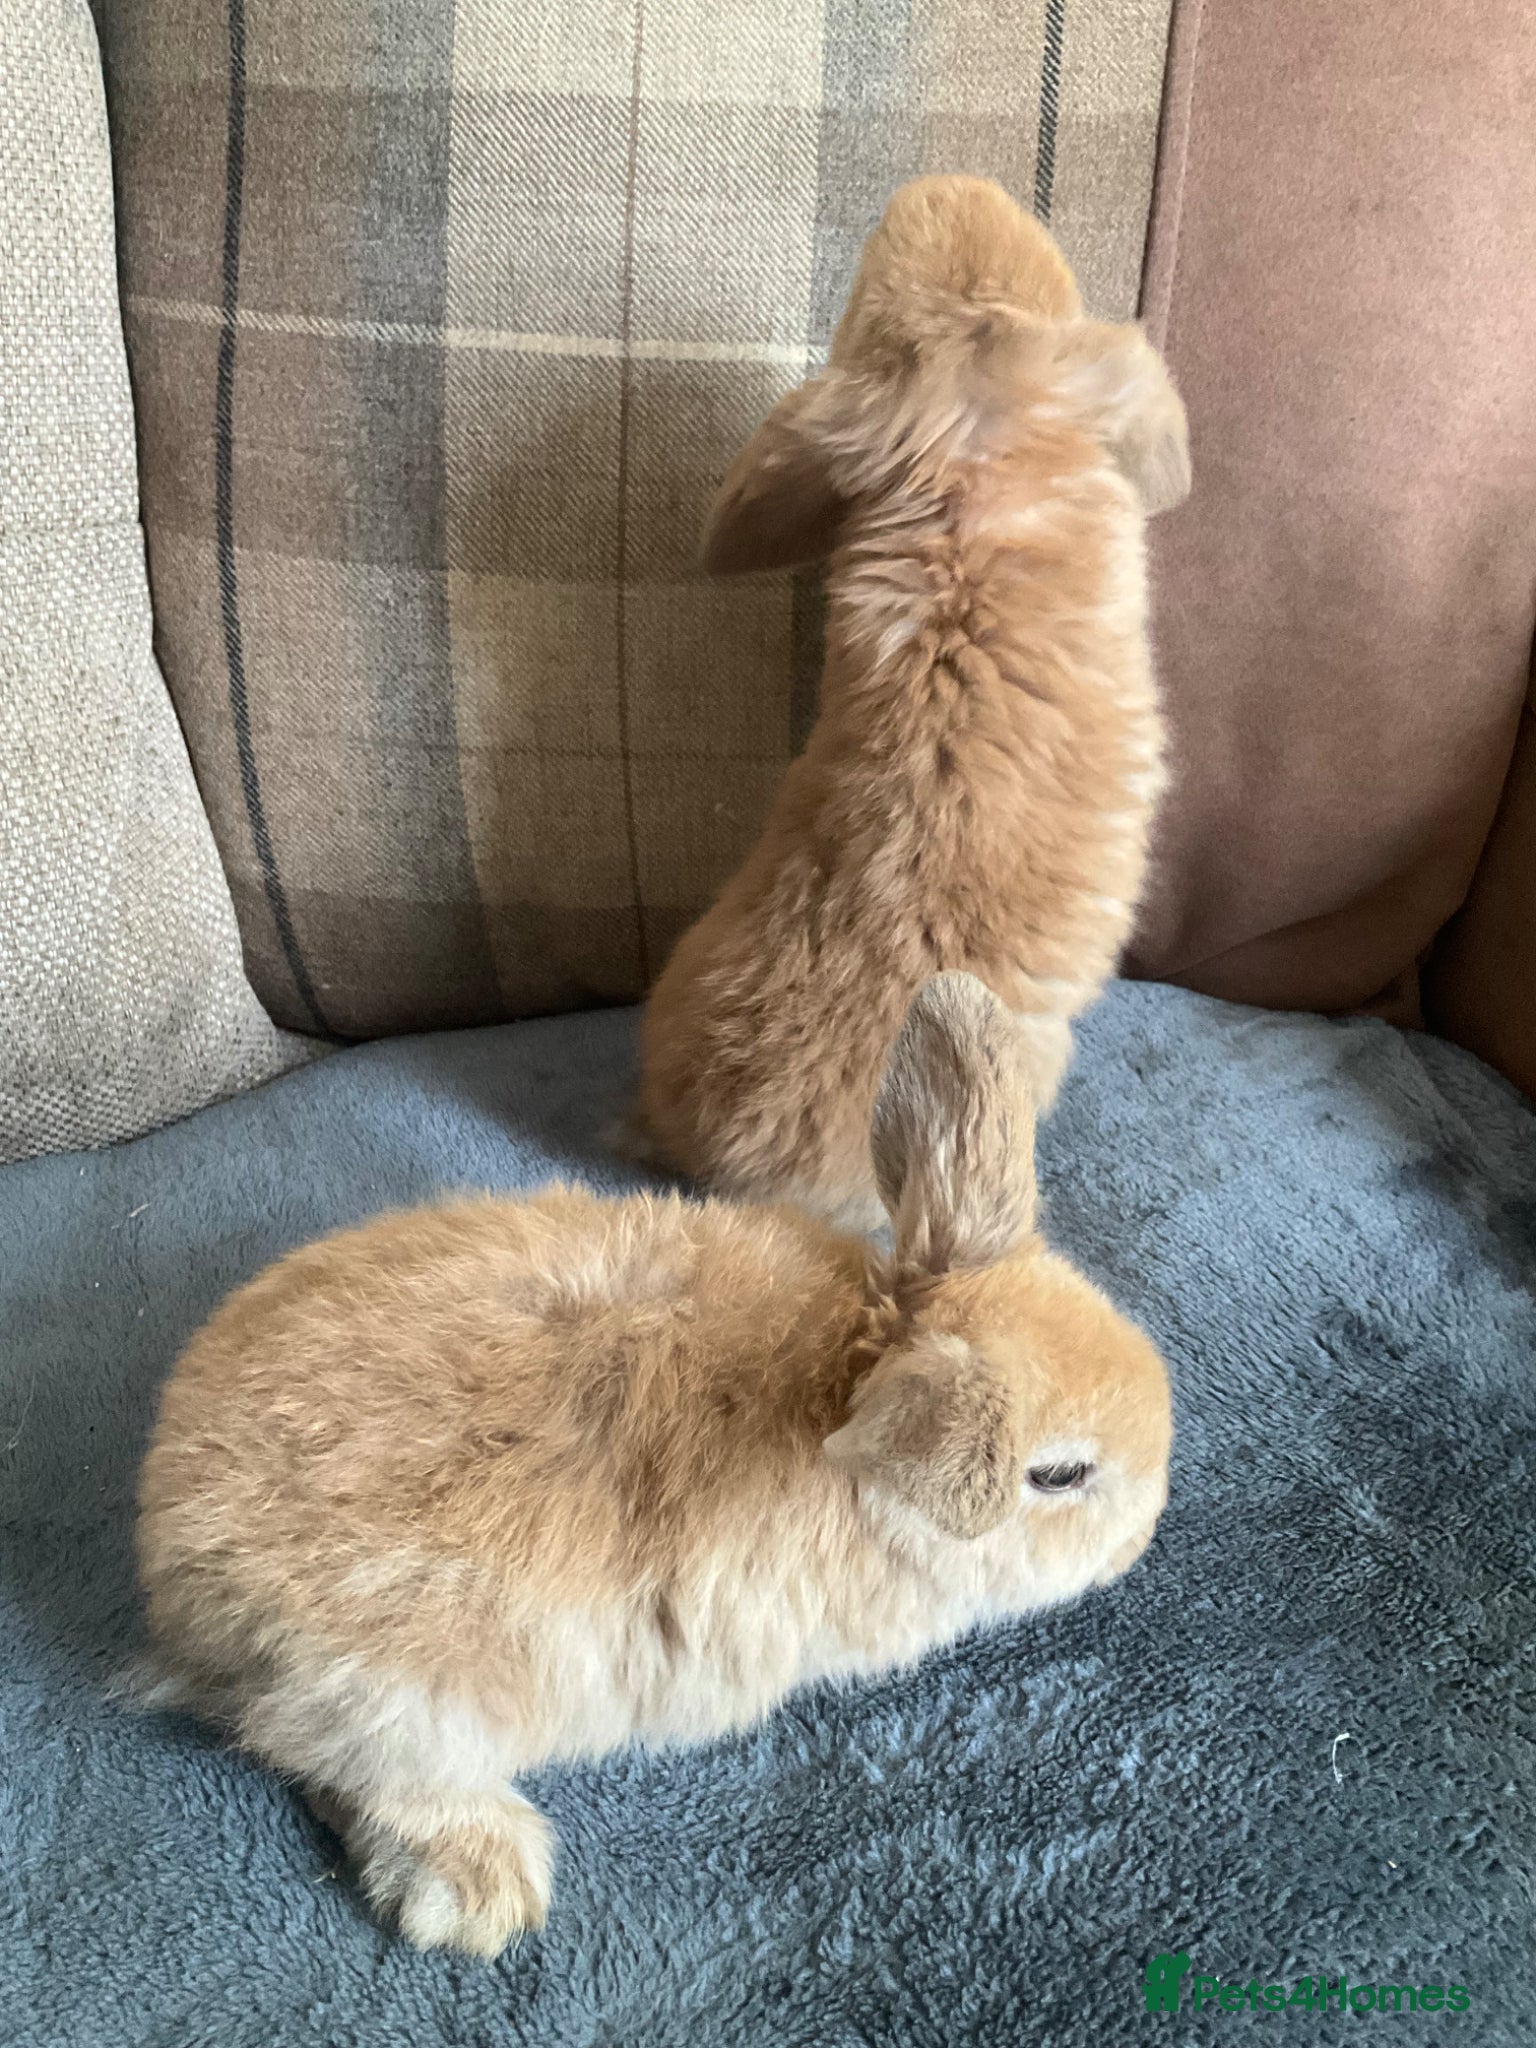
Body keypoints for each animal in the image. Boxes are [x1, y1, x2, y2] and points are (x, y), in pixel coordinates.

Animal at [136, 973, 1171, 1959]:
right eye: (1060, 1477)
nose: (1142, 1541)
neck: (853, 1375)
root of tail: (172, 1557)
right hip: (410, 1697)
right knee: (336, 1769)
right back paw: (480, 1891)